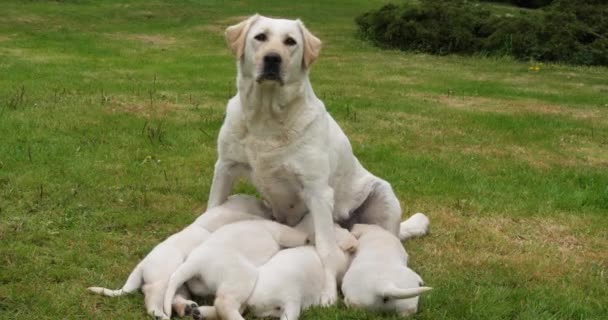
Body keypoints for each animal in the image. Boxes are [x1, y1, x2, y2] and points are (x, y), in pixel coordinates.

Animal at [87, 195, 270, 320]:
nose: (266, 206)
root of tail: (142, 265)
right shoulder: (231, 217)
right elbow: (249, 218)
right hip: (163, 278)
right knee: (152, 297)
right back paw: (160, 315)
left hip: (179, 284)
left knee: (173, 297)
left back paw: (186, 308)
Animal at [162, 220, 308, 320]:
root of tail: (196, 263)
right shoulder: (281, 231)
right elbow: (299, 237)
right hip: (243, 276)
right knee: (224, 304)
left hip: (202, 286)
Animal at [209, 14, 408, 304]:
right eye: (260, 37)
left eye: (290, 42)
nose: (272, 59)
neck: (267, 118)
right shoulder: (225, 167)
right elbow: (211, 210)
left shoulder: (317, 192)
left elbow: (325, 249)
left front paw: (327, 293)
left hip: (385, 198)